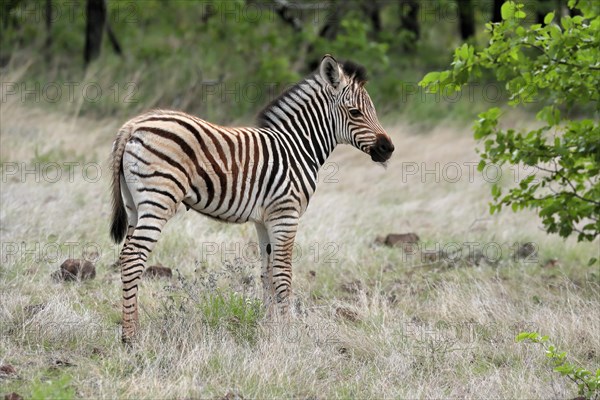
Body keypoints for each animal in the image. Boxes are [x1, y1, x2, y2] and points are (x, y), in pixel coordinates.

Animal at [110, 54, 394, 342]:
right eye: (355, 112)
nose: (388, 148)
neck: (297, 146)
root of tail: (133, 125)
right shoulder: (286, 214)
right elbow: (283, 274)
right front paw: (288, 332)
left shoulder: (264, 220)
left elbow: (266, 273)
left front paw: (270, 328)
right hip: (159, 199)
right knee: (134, 257)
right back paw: (131, 337)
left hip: (134, 205)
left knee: (125, 256)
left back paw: (130, 329)